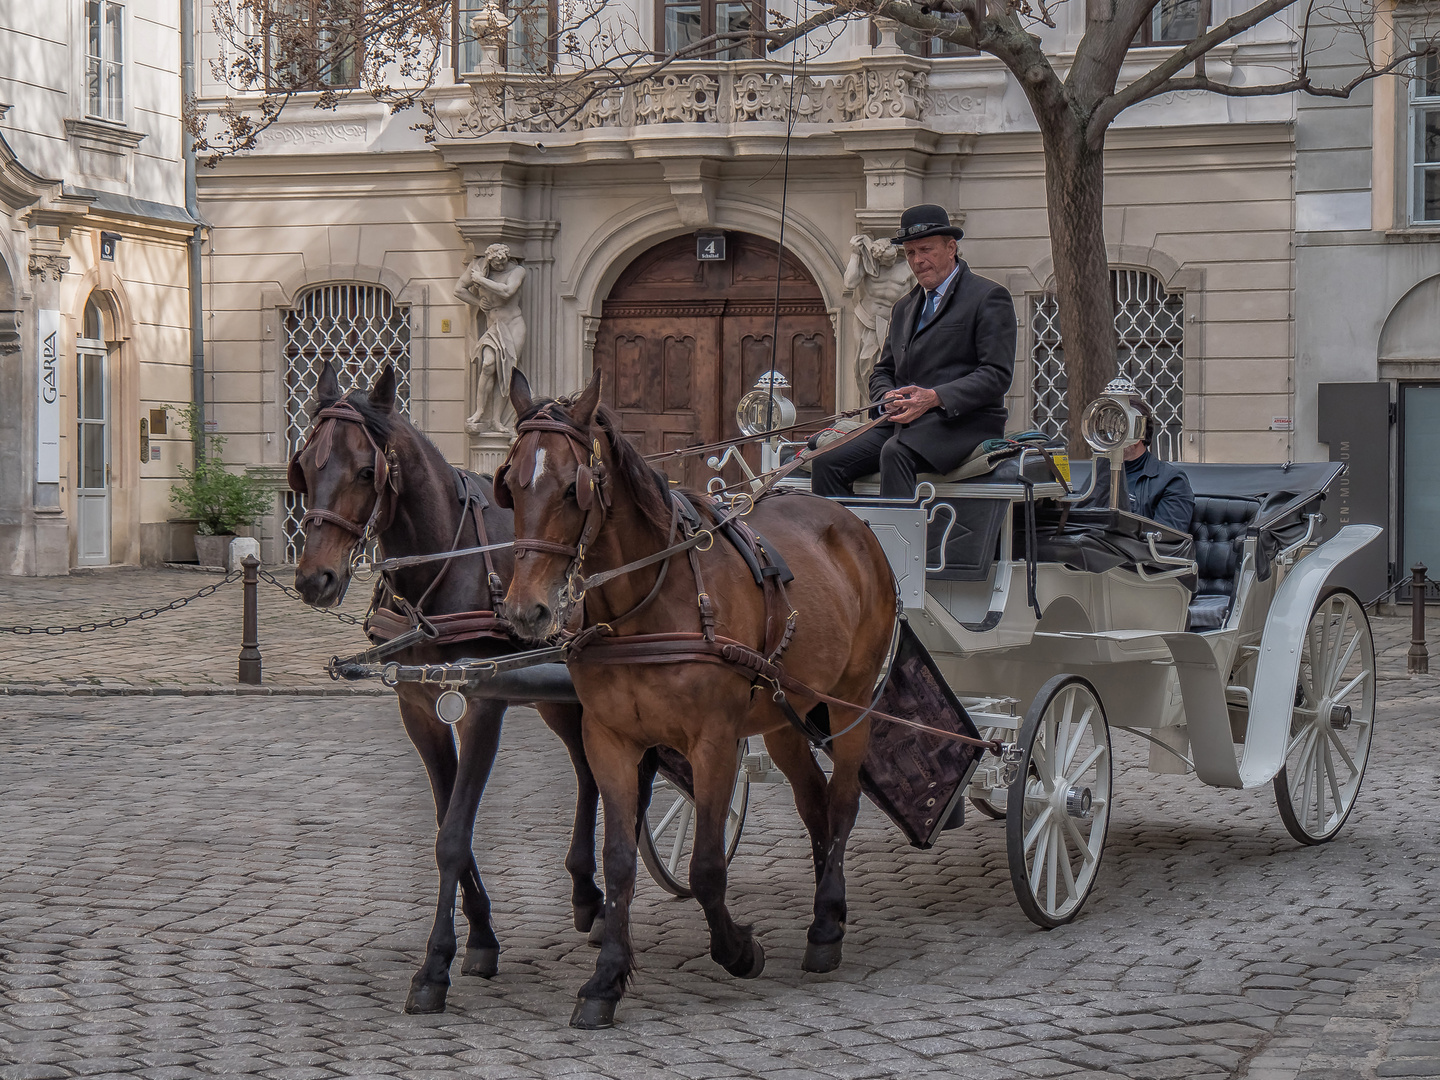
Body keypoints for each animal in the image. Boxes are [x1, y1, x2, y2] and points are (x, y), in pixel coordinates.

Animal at [289, 364, 616, 1013]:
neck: (447, 567)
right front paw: (482, 936)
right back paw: (586, 894)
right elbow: (448, 822)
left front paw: (434, 966)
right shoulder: (419, 708)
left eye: (365, 471)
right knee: (587, 767)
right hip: (554, 694)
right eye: (306, 466)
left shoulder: (482, 708)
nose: (315, 578)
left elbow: (453, 834)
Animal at [498, 371, 898, 1031]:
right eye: (509, 484)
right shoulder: (610, 742)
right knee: (814, 805)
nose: (525, 610)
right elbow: (619, 860)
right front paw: (606, 980)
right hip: (784, 718)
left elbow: (708, 865)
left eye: (573, 488)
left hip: (853, 703)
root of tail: (852, 523)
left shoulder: (714, 743)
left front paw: (738, 950)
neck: (646, 606)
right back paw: (825, 900)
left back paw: (825, 925)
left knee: (841, 806)